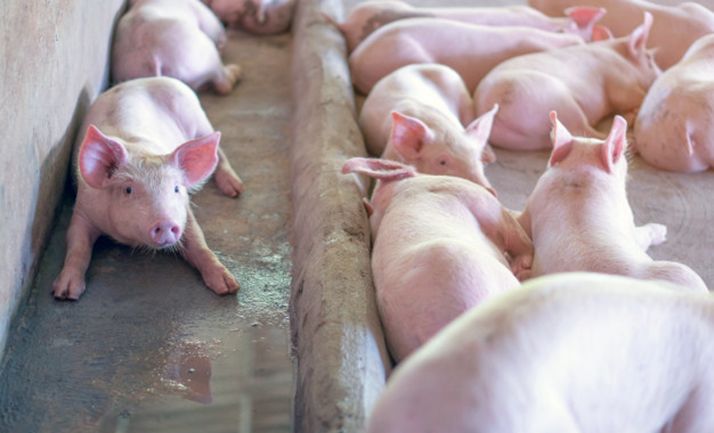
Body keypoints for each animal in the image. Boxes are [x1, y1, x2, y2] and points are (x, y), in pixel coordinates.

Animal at [52, 77, 243, 300]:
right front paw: (65, 293)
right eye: (128, 190)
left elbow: (197, 240)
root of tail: (141, 80)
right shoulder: (83, 210)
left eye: (176, 188)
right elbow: (77, 246)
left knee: (219, 152)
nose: (165, 223)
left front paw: (228, 287)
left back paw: (235, 190)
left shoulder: (184, 212)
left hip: (199, 120)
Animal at [112, 0, 242, 95]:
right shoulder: (203, 12)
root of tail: (151, 57)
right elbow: (216, 29)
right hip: (202, 51)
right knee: (223, 84)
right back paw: (235, 72)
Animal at [359, 64, 498, 193]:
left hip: (464, 97)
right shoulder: (389, 152)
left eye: (477, 158)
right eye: (442, 162)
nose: (490, 190)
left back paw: (491, 157)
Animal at [475, 12, 660, 151]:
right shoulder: (619, 79)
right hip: (557, 101)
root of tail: (488, 106)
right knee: (583, 130)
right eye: (649, 59)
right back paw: (632, 142)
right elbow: (632, 96)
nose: (660, 75)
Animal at [517, 112, 708, 292]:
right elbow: (640, 235)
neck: (577, 181)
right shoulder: (627, 217)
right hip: (684, 273)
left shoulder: (533, 203)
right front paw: (663, 230)